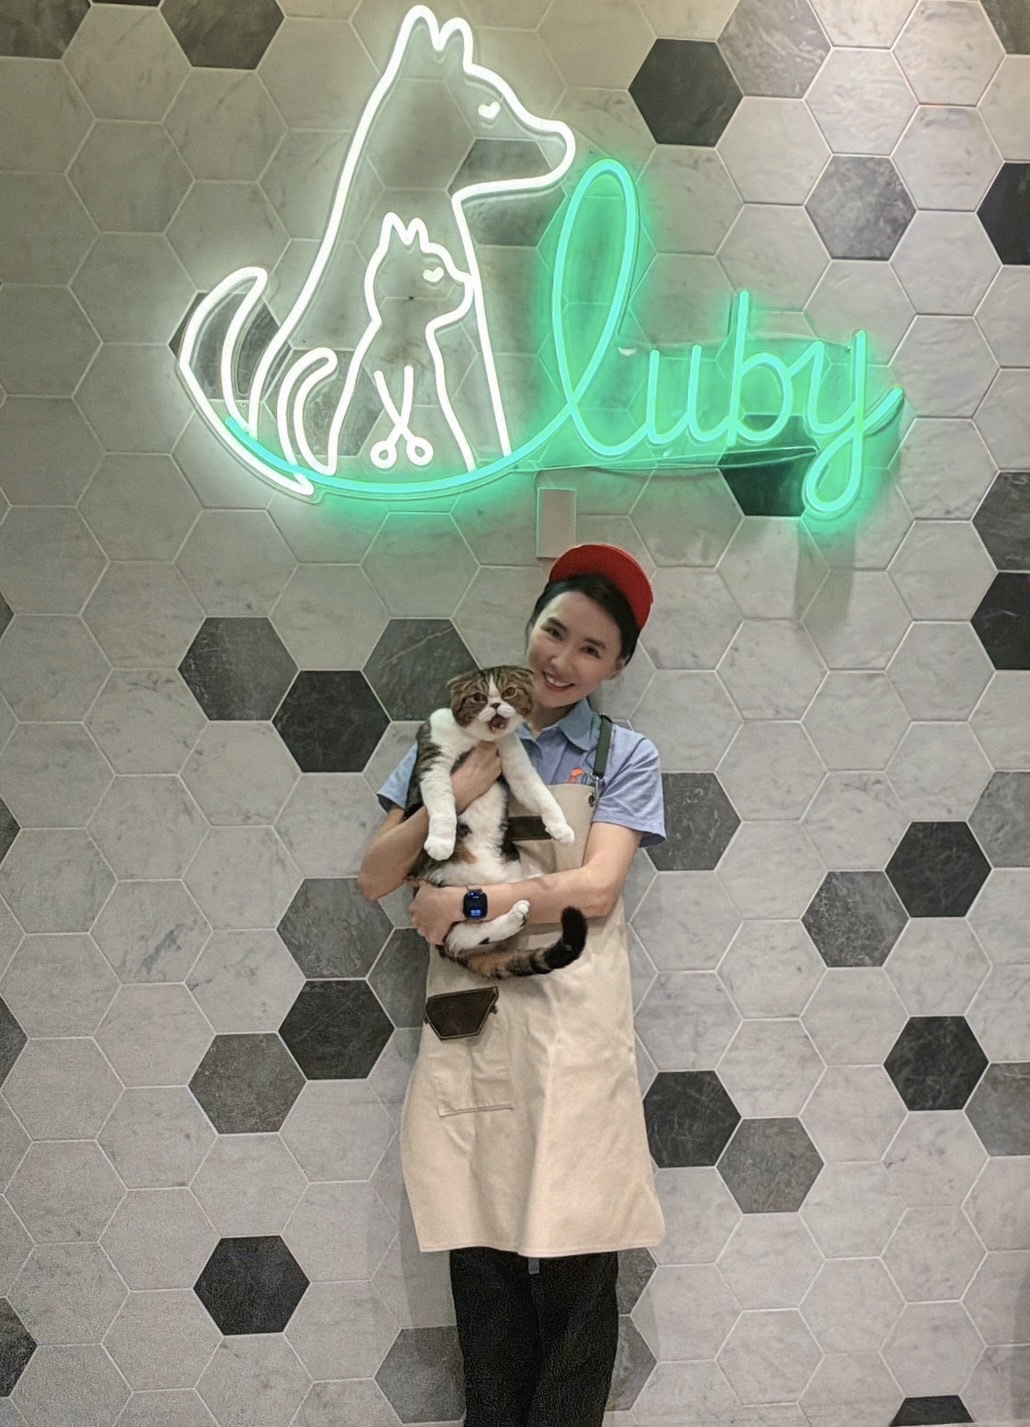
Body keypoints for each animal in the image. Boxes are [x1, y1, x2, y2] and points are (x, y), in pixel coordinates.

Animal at [407, 664, 587, 980]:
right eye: (478, 697)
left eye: (508, 692)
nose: (494, 705)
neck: (479, 741)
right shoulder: (434, 761)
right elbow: (441, 802)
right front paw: (441, 841)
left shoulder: (516, 764)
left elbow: (540, 793)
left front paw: (560, 828)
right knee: (458, 937)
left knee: (469, 935)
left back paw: (517, 912)